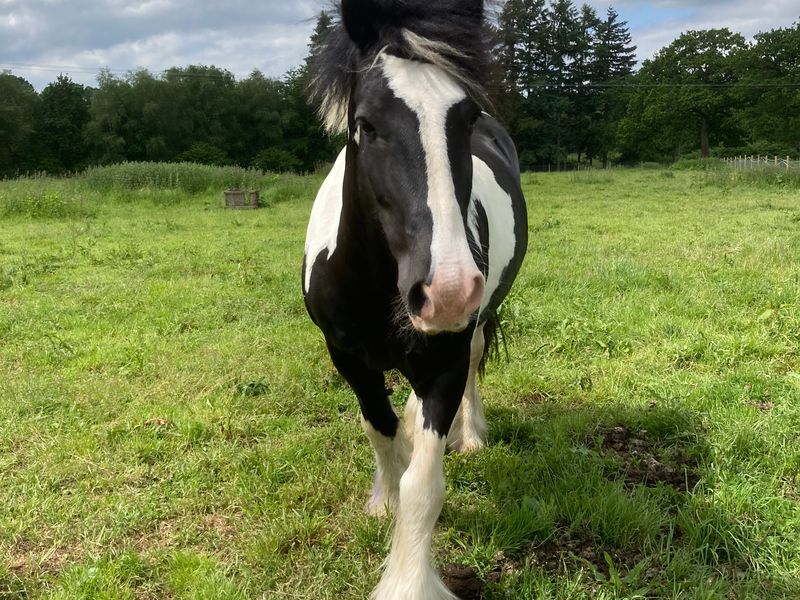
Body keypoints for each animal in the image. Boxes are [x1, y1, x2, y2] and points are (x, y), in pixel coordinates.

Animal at [302, 0, 528, 597]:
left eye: (466, 117)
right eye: (365, 124)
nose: (446, 291)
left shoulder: (444, 359)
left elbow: (424, 485)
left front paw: (408, 580)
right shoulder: (347, 357)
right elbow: (379, 430)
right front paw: (384, 501)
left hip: (478, 321)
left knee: (474, 365)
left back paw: (469, 436)